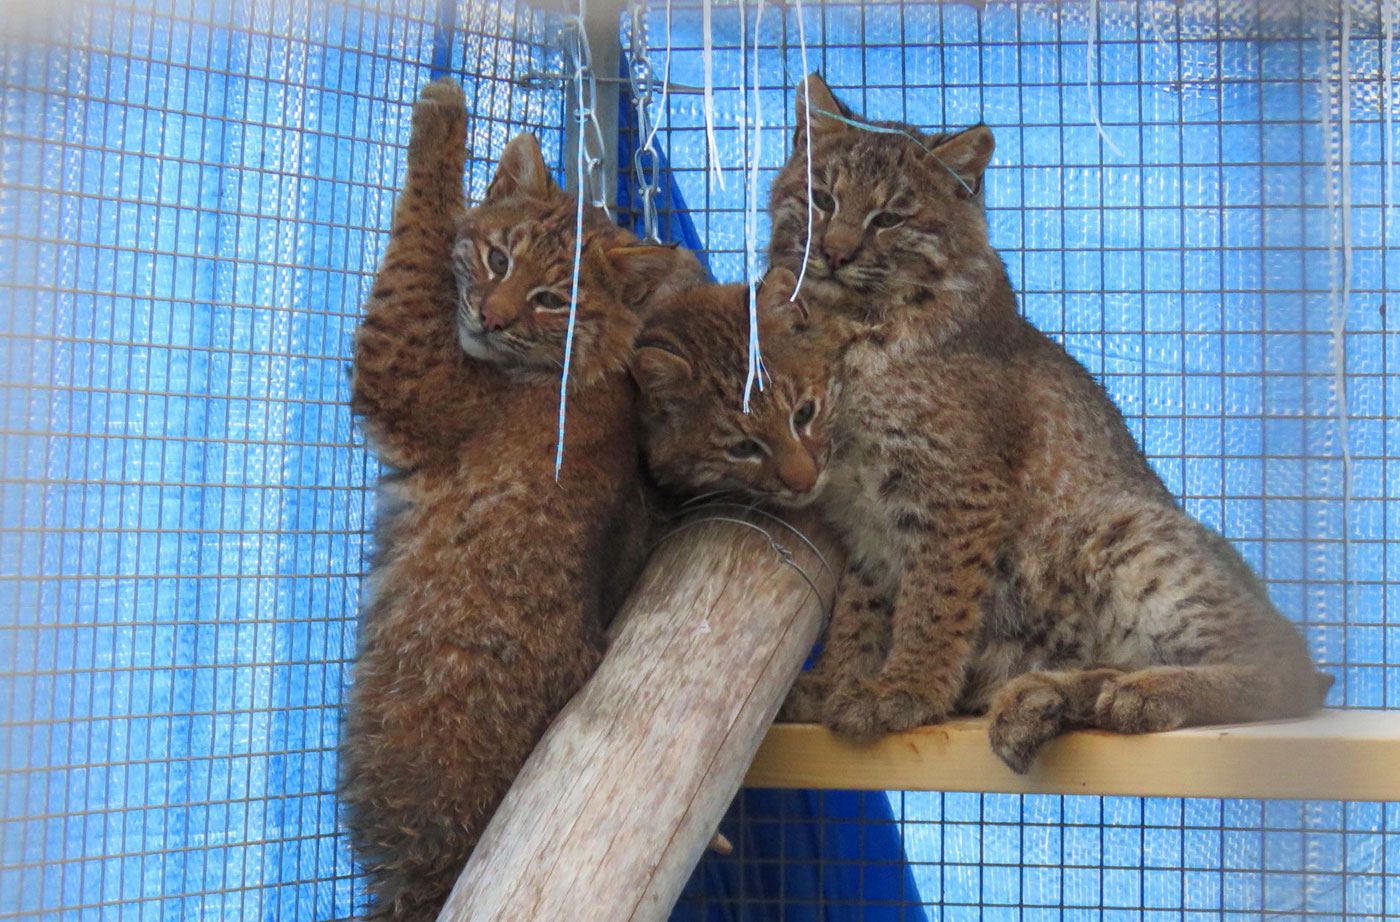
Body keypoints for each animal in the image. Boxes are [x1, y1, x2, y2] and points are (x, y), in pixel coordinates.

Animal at [338, 81, 688, 922]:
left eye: (550, 300)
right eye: (498, 259)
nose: (492, 318)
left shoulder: (407, 364)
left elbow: (418, 239)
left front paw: (442, 111)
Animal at [761, 75, 1327, 772]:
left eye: (890, 218)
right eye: (821, 198)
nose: (834, 254)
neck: (850, 326)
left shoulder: (959, 490)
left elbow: (935, 599)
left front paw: (907, 690)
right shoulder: (857, 507)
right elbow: (861, 608)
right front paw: (843, 680)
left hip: (1118, 528)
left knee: (1292, 670)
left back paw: (1137, 692)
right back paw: (1057, 693)